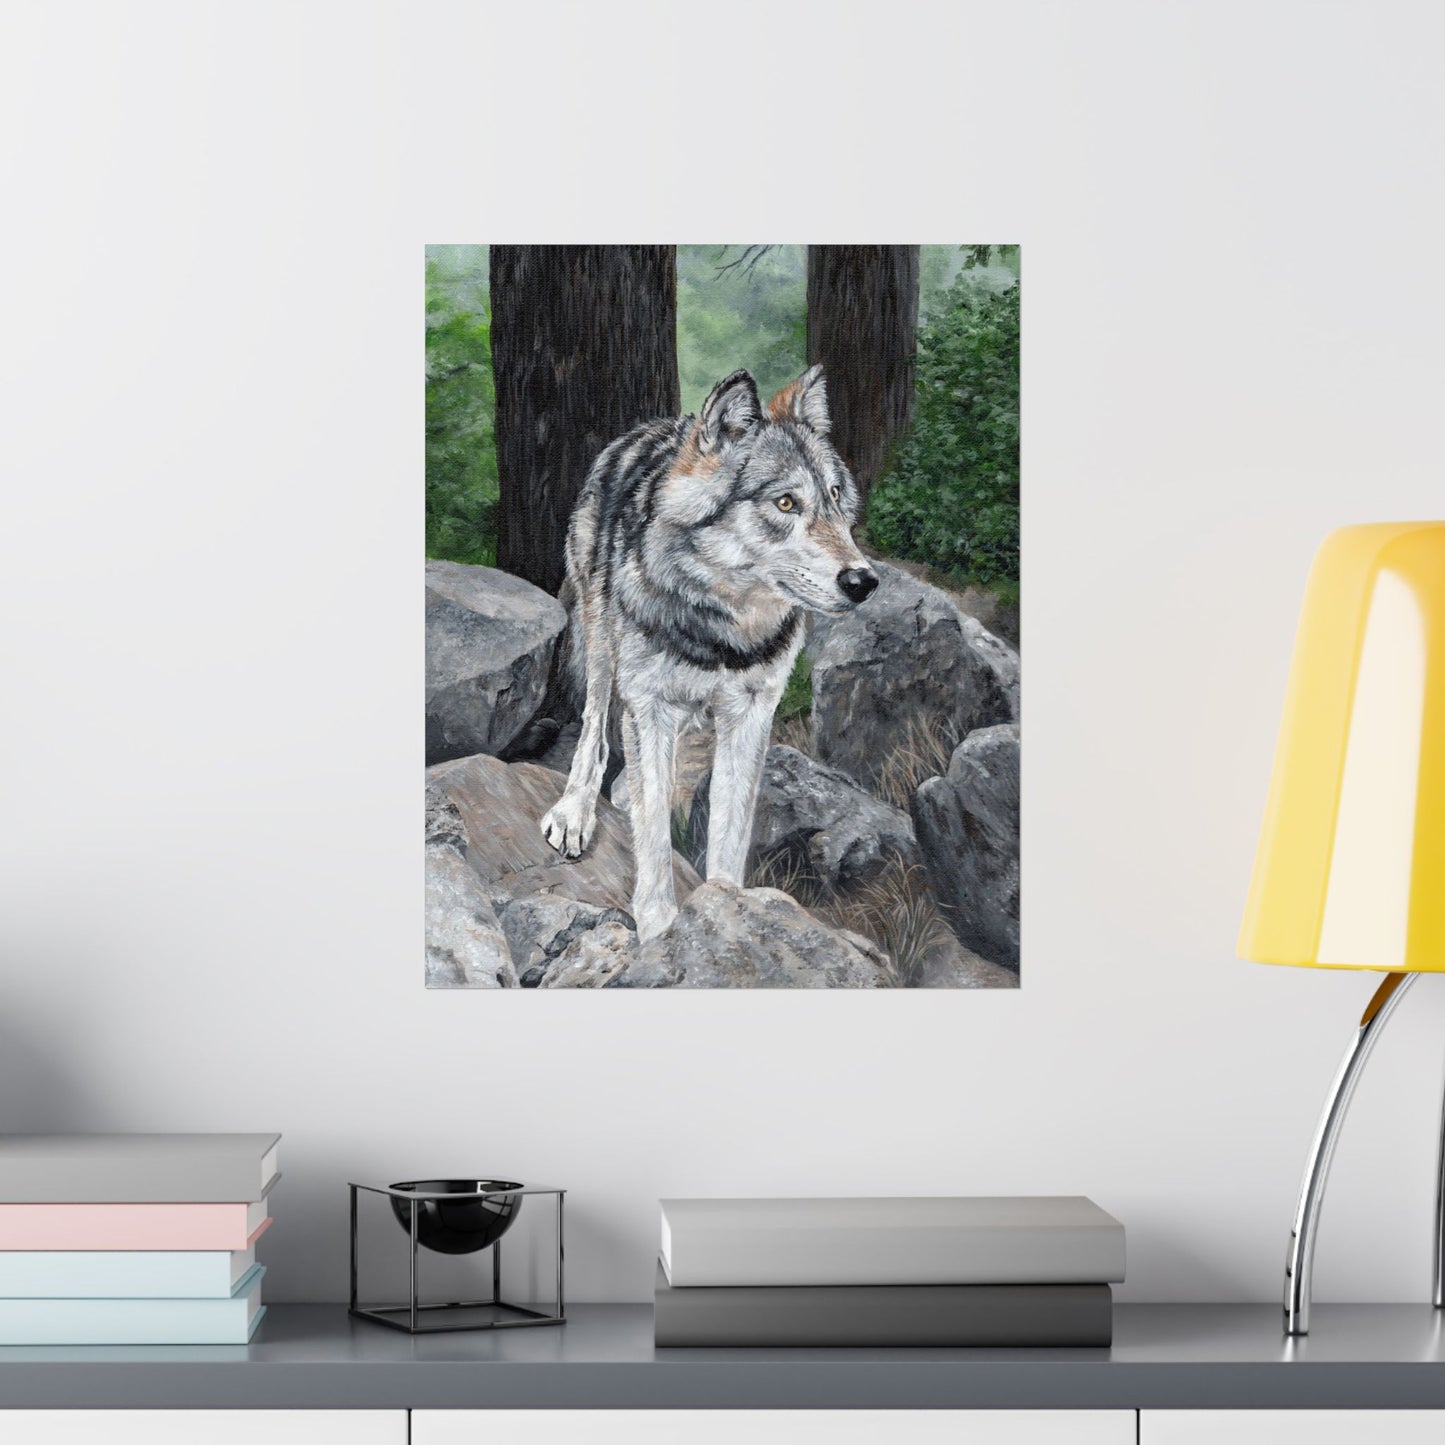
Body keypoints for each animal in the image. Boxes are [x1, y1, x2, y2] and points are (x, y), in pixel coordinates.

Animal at [539, 365, 879, 943]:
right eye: (785, 503)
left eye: (835, 496)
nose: (864, 581)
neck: (723, 632)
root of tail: (652, 427)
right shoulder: (649, 703)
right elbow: (654, 834)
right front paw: (660, 930)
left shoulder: (751, 714)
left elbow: (728, 829)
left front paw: (728, 911)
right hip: (601, 641)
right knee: (594, 729)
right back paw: (576, 810)